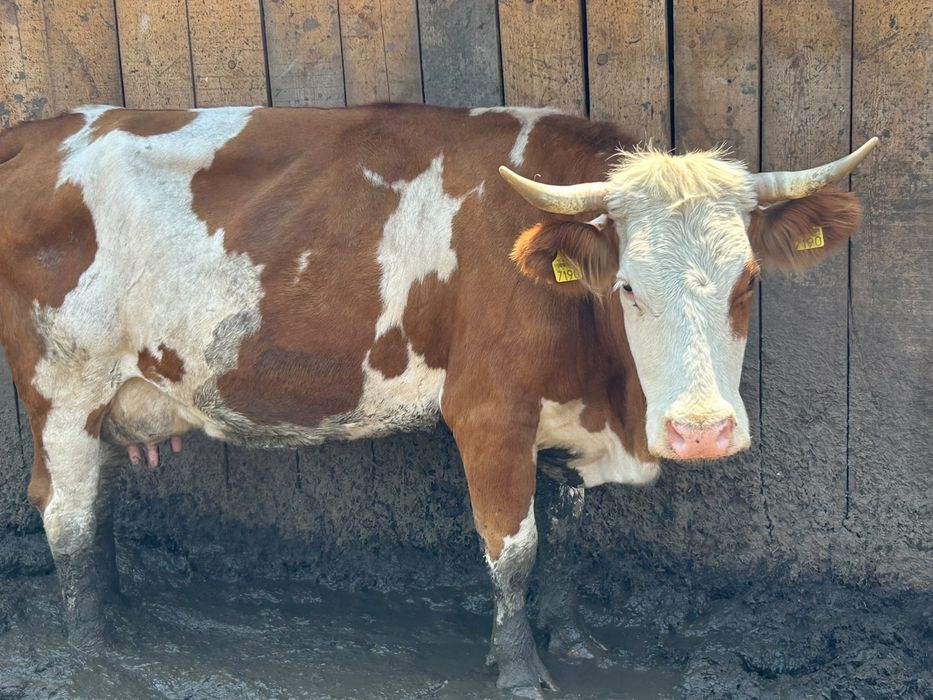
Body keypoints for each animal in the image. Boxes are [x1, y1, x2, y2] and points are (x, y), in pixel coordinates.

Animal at [0, 103, 875, 697]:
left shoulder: (562, 421)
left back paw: (121, 615)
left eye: (747, 280)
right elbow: (513, 547)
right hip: (63, 385)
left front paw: (574, 638)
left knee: (99, 504)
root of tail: (43, 129)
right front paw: (519, 669)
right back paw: (96, 650)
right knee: (66, 513)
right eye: (627, 286)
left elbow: (566, 538)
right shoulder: (487, 410)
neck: (607, 397)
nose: (702, 431)